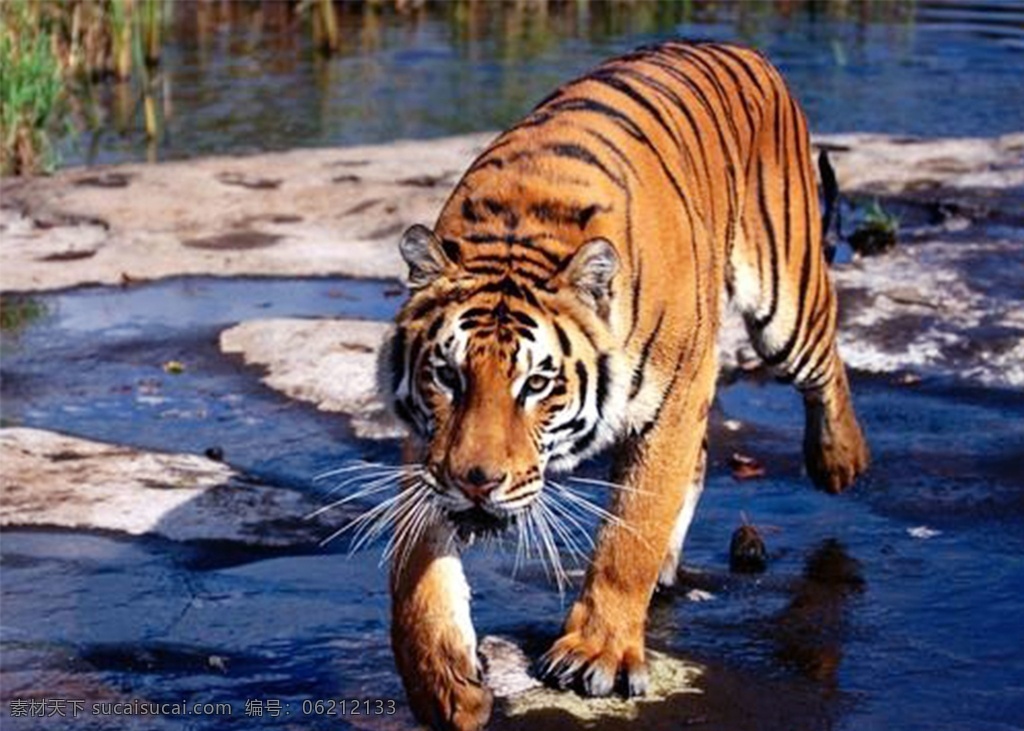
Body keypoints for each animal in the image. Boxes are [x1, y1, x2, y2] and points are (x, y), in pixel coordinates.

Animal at [380, 39, 869, 731]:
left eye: (537, 384)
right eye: (448, 374)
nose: (477, 483)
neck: (520, 229)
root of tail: (738, 46)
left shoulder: (673, 400)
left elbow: (631, 530)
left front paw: (600, 654)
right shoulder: (428, 446)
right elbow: (414, 574)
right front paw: (444, 685)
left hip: (784, 299)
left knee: (825, 360)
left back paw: (840, 459)